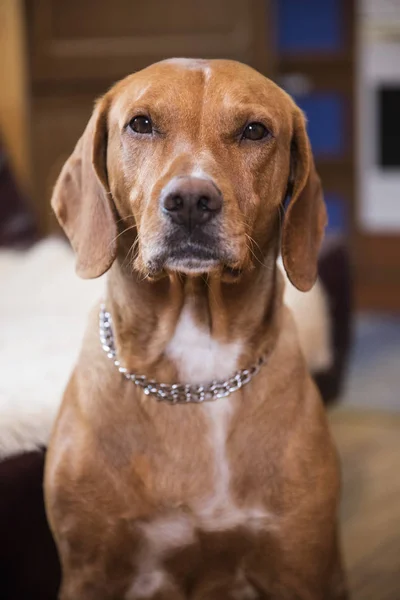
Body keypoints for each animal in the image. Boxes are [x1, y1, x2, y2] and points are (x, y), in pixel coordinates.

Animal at [44, 57, 346, 600]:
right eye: (141, 123)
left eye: (255, 131)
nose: (189, 200)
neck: (197, 371)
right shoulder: (89, 571)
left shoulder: (296, 565)